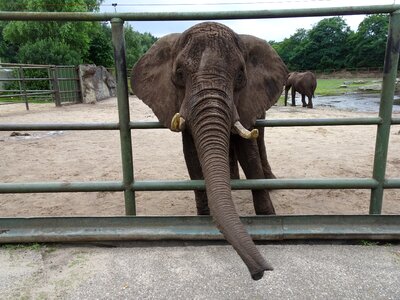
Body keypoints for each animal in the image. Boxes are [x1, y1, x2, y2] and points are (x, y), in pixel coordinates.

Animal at [131, 21, 288, 282]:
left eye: (240, 75)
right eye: (179, 74)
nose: (261, 272)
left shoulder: (246, 100)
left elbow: (249, 154)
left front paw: (269, 220)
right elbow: (192, 156)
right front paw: (203, 221)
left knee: (260, 137)